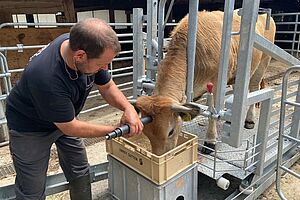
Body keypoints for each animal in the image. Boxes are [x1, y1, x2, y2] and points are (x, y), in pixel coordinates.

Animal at [135, 10, 276, 155]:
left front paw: (210, 141)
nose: (161, 157)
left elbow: (212, 112)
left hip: (262, 64)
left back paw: (250, 120)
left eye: (171, 132)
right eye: (146, 133)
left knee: (254, 88)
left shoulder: (216, 84)